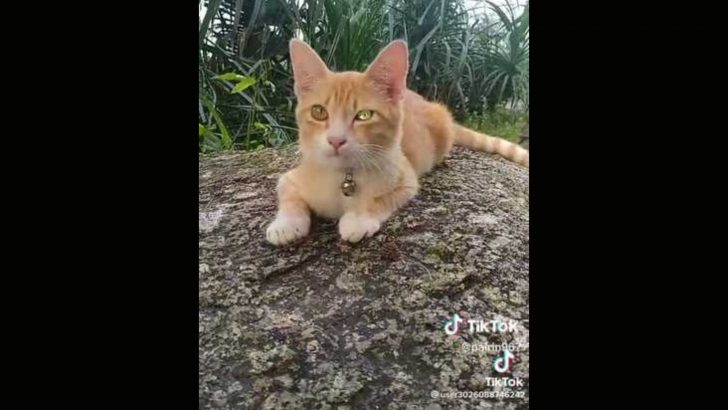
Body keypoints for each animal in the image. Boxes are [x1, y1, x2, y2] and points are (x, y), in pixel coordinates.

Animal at [264, 38, 528, 245]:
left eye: (364, 115)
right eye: (319, 112)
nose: (336, 140)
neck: (343, 178)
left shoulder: (406, 180)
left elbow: (379, 200)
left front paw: (357, 219)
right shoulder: (292, 177)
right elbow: (288, 193)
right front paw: (285, 225)